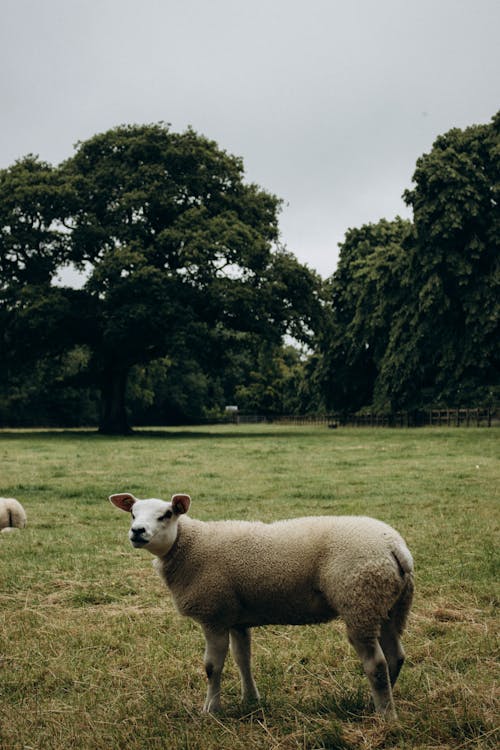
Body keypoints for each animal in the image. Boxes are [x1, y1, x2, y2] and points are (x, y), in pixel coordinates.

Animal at [109, 490, 414, 720]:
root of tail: (395, 548)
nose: (137, 531)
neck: (189, 546)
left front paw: (211, 710)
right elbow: (243, 659)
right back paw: (376, 702)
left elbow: (212, 667)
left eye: (166, 514)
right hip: (389, 606)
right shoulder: (236, 617)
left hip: (359, 600)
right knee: (395, 656)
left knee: (376, 663)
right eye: (133, 513)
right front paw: (250, 700)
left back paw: (385, 716)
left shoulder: (214, 615)